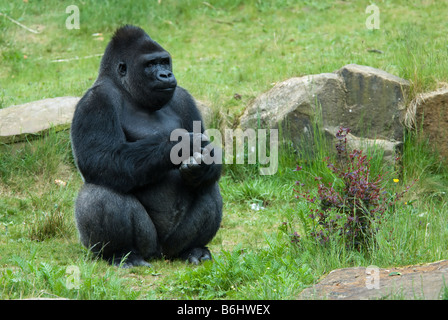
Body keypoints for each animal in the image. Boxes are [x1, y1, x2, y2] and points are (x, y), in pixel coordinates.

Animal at [70, 25, 222, 266]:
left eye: (164, 62)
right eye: (150, 65)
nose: (166, 75)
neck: (127, 91)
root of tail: (160, 253)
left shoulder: (184, 98)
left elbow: (209, 158)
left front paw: (202, 165)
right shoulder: (95, 101)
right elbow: (102, 159)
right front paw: (180, 144)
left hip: (172, 244)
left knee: (208, 187)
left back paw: (193, 249)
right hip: (146, 244)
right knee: (99, 192)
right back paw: (122, 253)